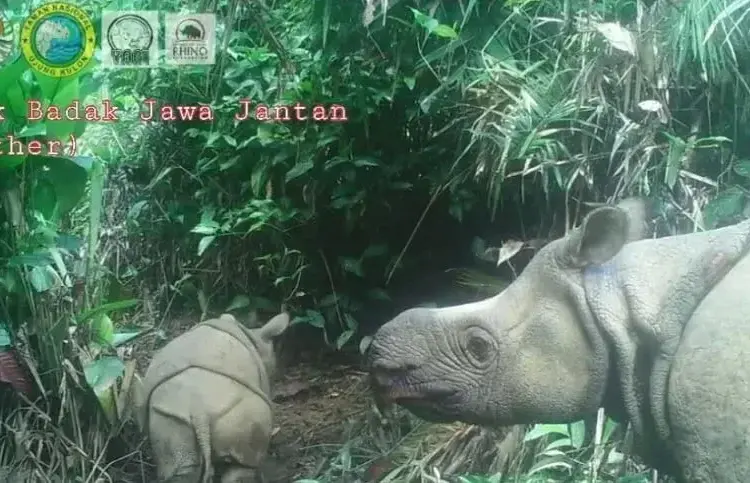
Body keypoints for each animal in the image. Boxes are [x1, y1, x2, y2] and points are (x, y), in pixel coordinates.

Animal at [132, 312, 290, 482]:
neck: (255, 337)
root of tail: (198, 411)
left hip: (168, 417)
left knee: (181, 468)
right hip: (241, 414)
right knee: (243, 465)